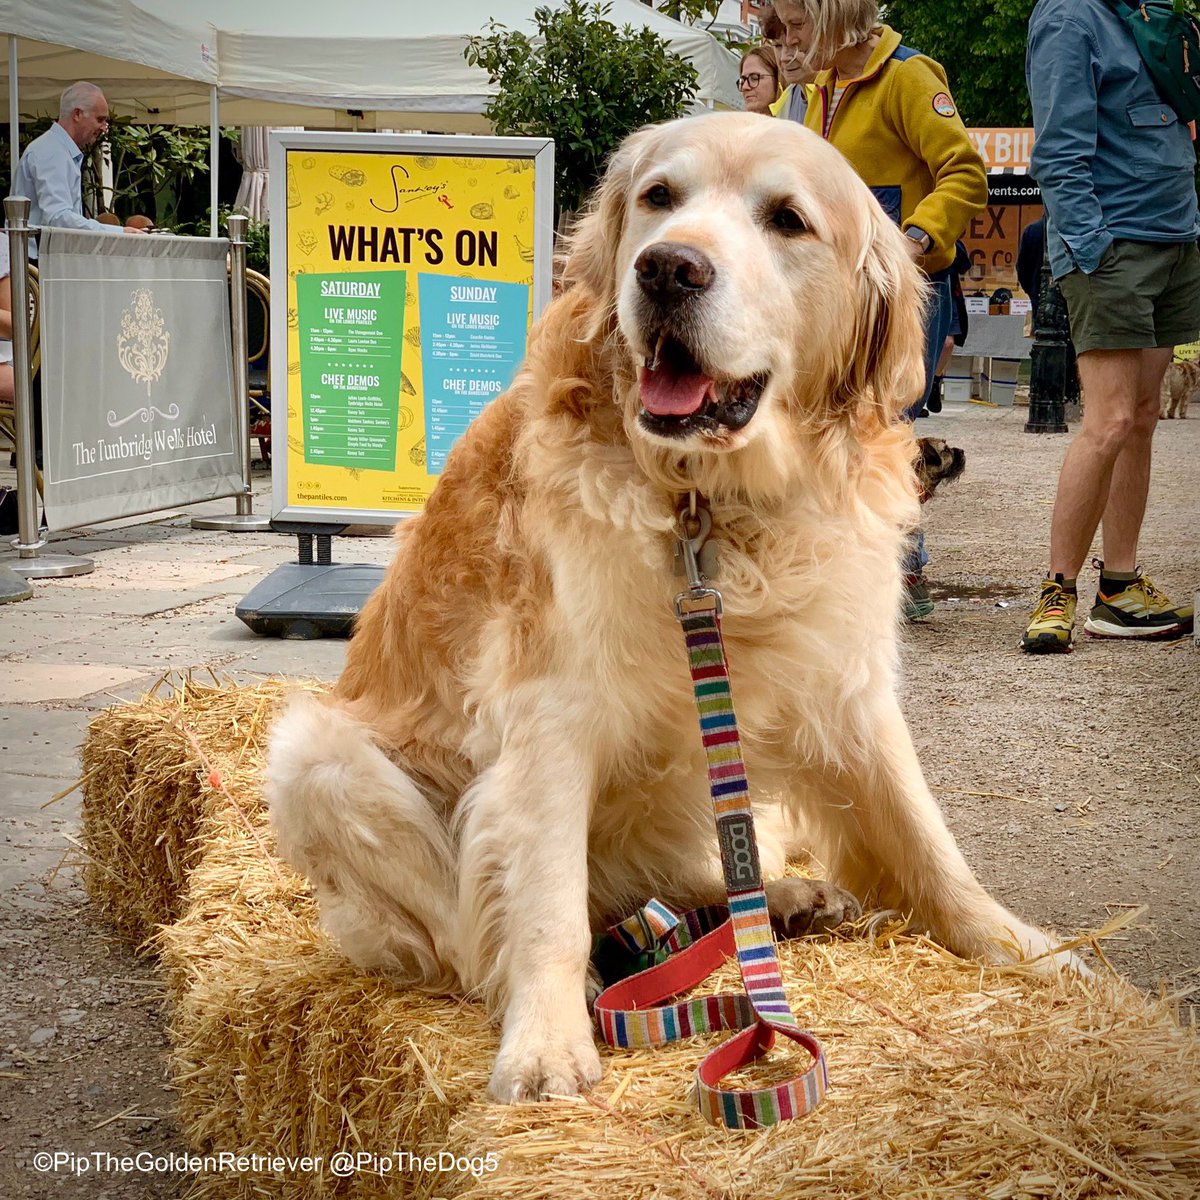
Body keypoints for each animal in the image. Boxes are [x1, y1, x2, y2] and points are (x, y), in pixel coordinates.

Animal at [267, 114, 1065, 1104]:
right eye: (658, 198)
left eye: (787, 219)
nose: (667, 269)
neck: (709, 508)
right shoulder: (550, 714)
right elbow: (543, 906)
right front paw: (544, 1041)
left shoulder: (847, 684)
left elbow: (925, 836)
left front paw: (1021, 946)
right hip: (317, 755)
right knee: (474, 926)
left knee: (705, 872)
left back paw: (780, 897)